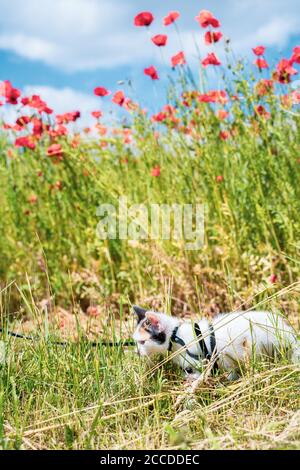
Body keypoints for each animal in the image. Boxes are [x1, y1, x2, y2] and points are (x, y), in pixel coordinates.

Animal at [132, 304, 298, 382]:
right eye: (136, 342)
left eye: (142, 342)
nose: (137, 352)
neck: (177, 337)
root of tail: (290, 334)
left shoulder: (205, 360)